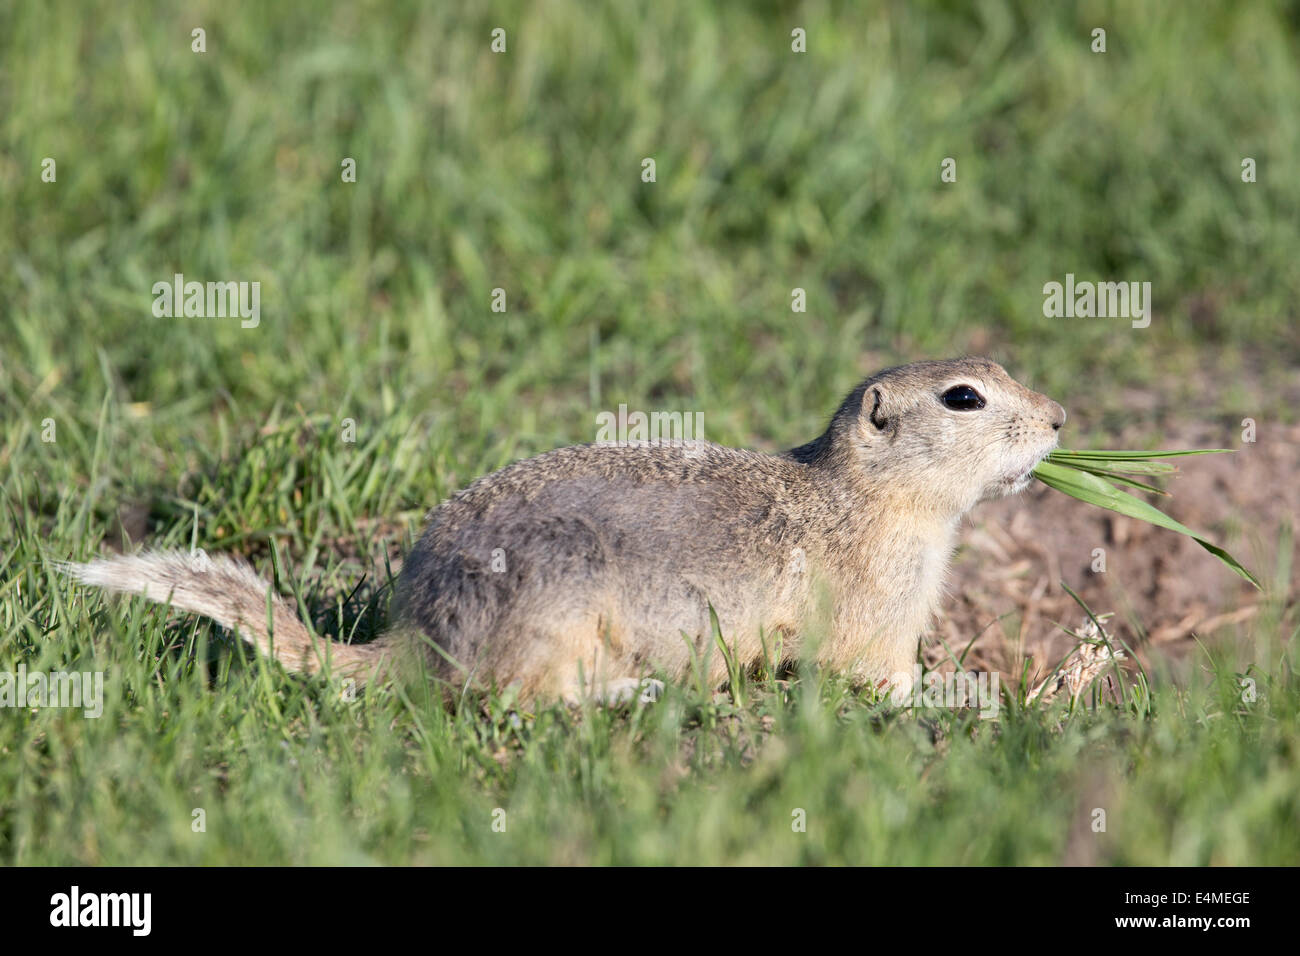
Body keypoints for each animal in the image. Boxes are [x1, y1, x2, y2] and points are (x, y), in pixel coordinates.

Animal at [63, 356, 1066, 702]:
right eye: (964, 397)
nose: (1061, 418)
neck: (864, 495)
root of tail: (415, 634)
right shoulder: (877, 605)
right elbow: (877, 672)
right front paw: (958, 691)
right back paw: (630, 695)